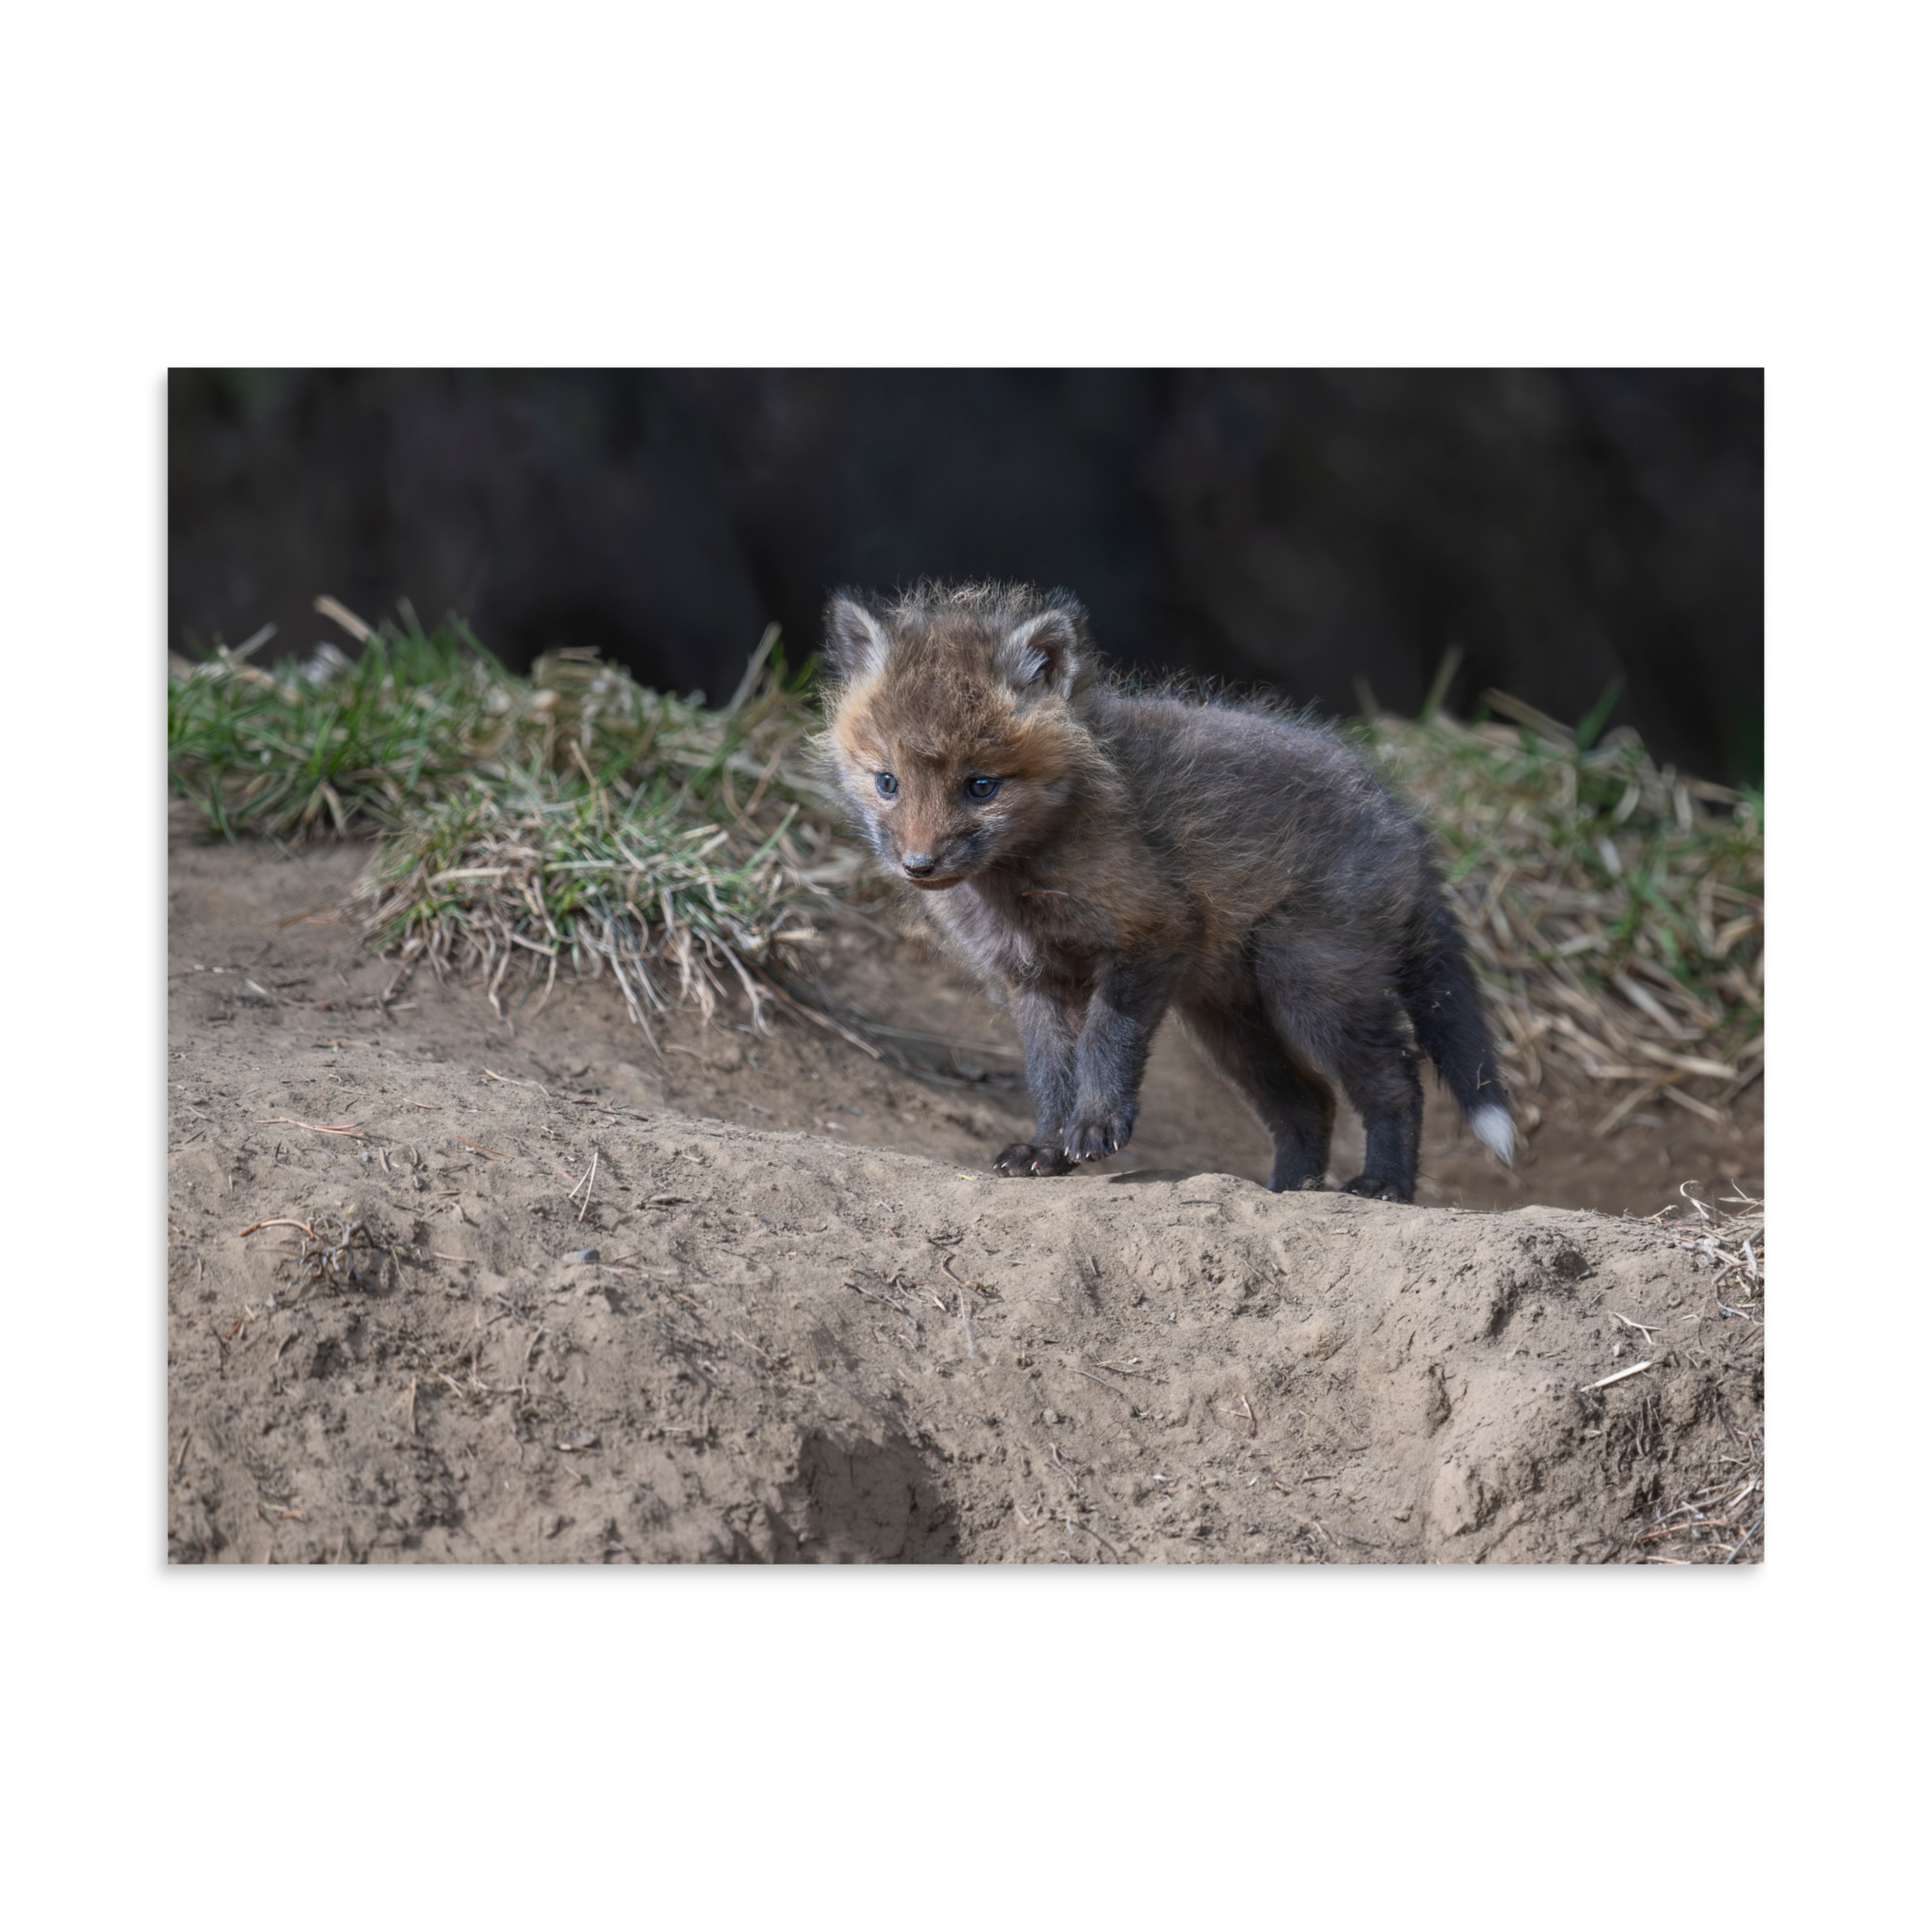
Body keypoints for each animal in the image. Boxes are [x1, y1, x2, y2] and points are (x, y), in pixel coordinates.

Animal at [819, 581, 1513, 1203]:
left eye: (981, 786)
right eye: (887, 782)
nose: (918, 865)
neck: (1023, 884)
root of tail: (1403, 819)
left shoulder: (1149, 934)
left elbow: (1105, 1041)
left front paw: (1096, 1125)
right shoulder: (1032, 978)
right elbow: (1049, 1073)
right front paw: (1046, 1147)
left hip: (1311, 986)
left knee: (1397, 1078)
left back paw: (1384, 1184)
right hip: (1230, 1022)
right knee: (1309, 1102)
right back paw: (1289, 1191)